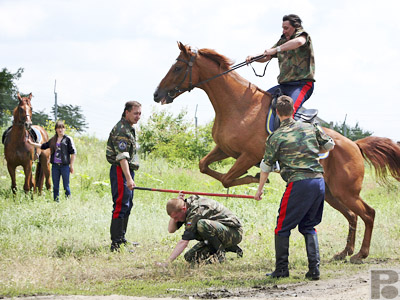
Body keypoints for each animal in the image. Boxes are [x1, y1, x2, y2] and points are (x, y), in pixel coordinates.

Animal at [155, 41, 400, 262]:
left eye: (177, 68)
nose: (157, 95)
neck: (239, 106)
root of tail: (355, 145)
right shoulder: (225, 150)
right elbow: (205, 167)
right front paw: (253, 178)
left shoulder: (249, 156)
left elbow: (227, 178)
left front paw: (254, 179)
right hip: (332, 193)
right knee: (352, 216)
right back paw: (344, 252)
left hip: (346, 191)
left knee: (368, 214)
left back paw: (360, 254)